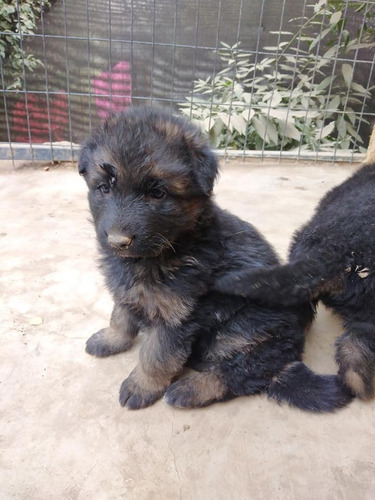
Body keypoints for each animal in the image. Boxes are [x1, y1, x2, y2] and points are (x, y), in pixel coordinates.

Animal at [78, 107, 352, 412]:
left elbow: (156, 355)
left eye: (158, 193)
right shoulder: (127, 291)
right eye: (104, 188)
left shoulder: (177, 316)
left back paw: (189, 389)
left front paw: (142, 386)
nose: (117, 242)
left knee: (247, 372)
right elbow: (121, 316)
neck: (174, 245)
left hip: (243, 327)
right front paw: (110, 339)